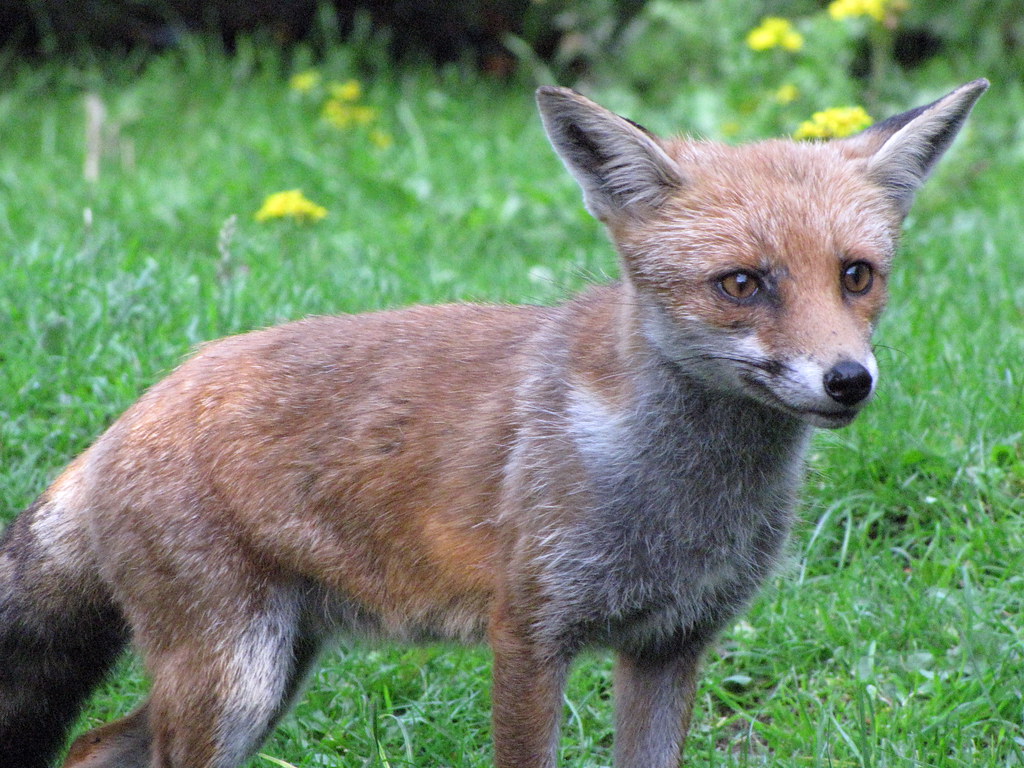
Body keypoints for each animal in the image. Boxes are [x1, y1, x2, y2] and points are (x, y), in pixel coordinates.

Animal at [1, 79, 987, 768]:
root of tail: (131, 411)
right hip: (236, 680)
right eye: (742, 283)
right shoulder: (529, 634)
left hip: (275, 670)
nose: (848, 381)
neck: (676, 497)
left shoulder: (670, 644)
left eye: (857, 275)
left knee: (93, 746)